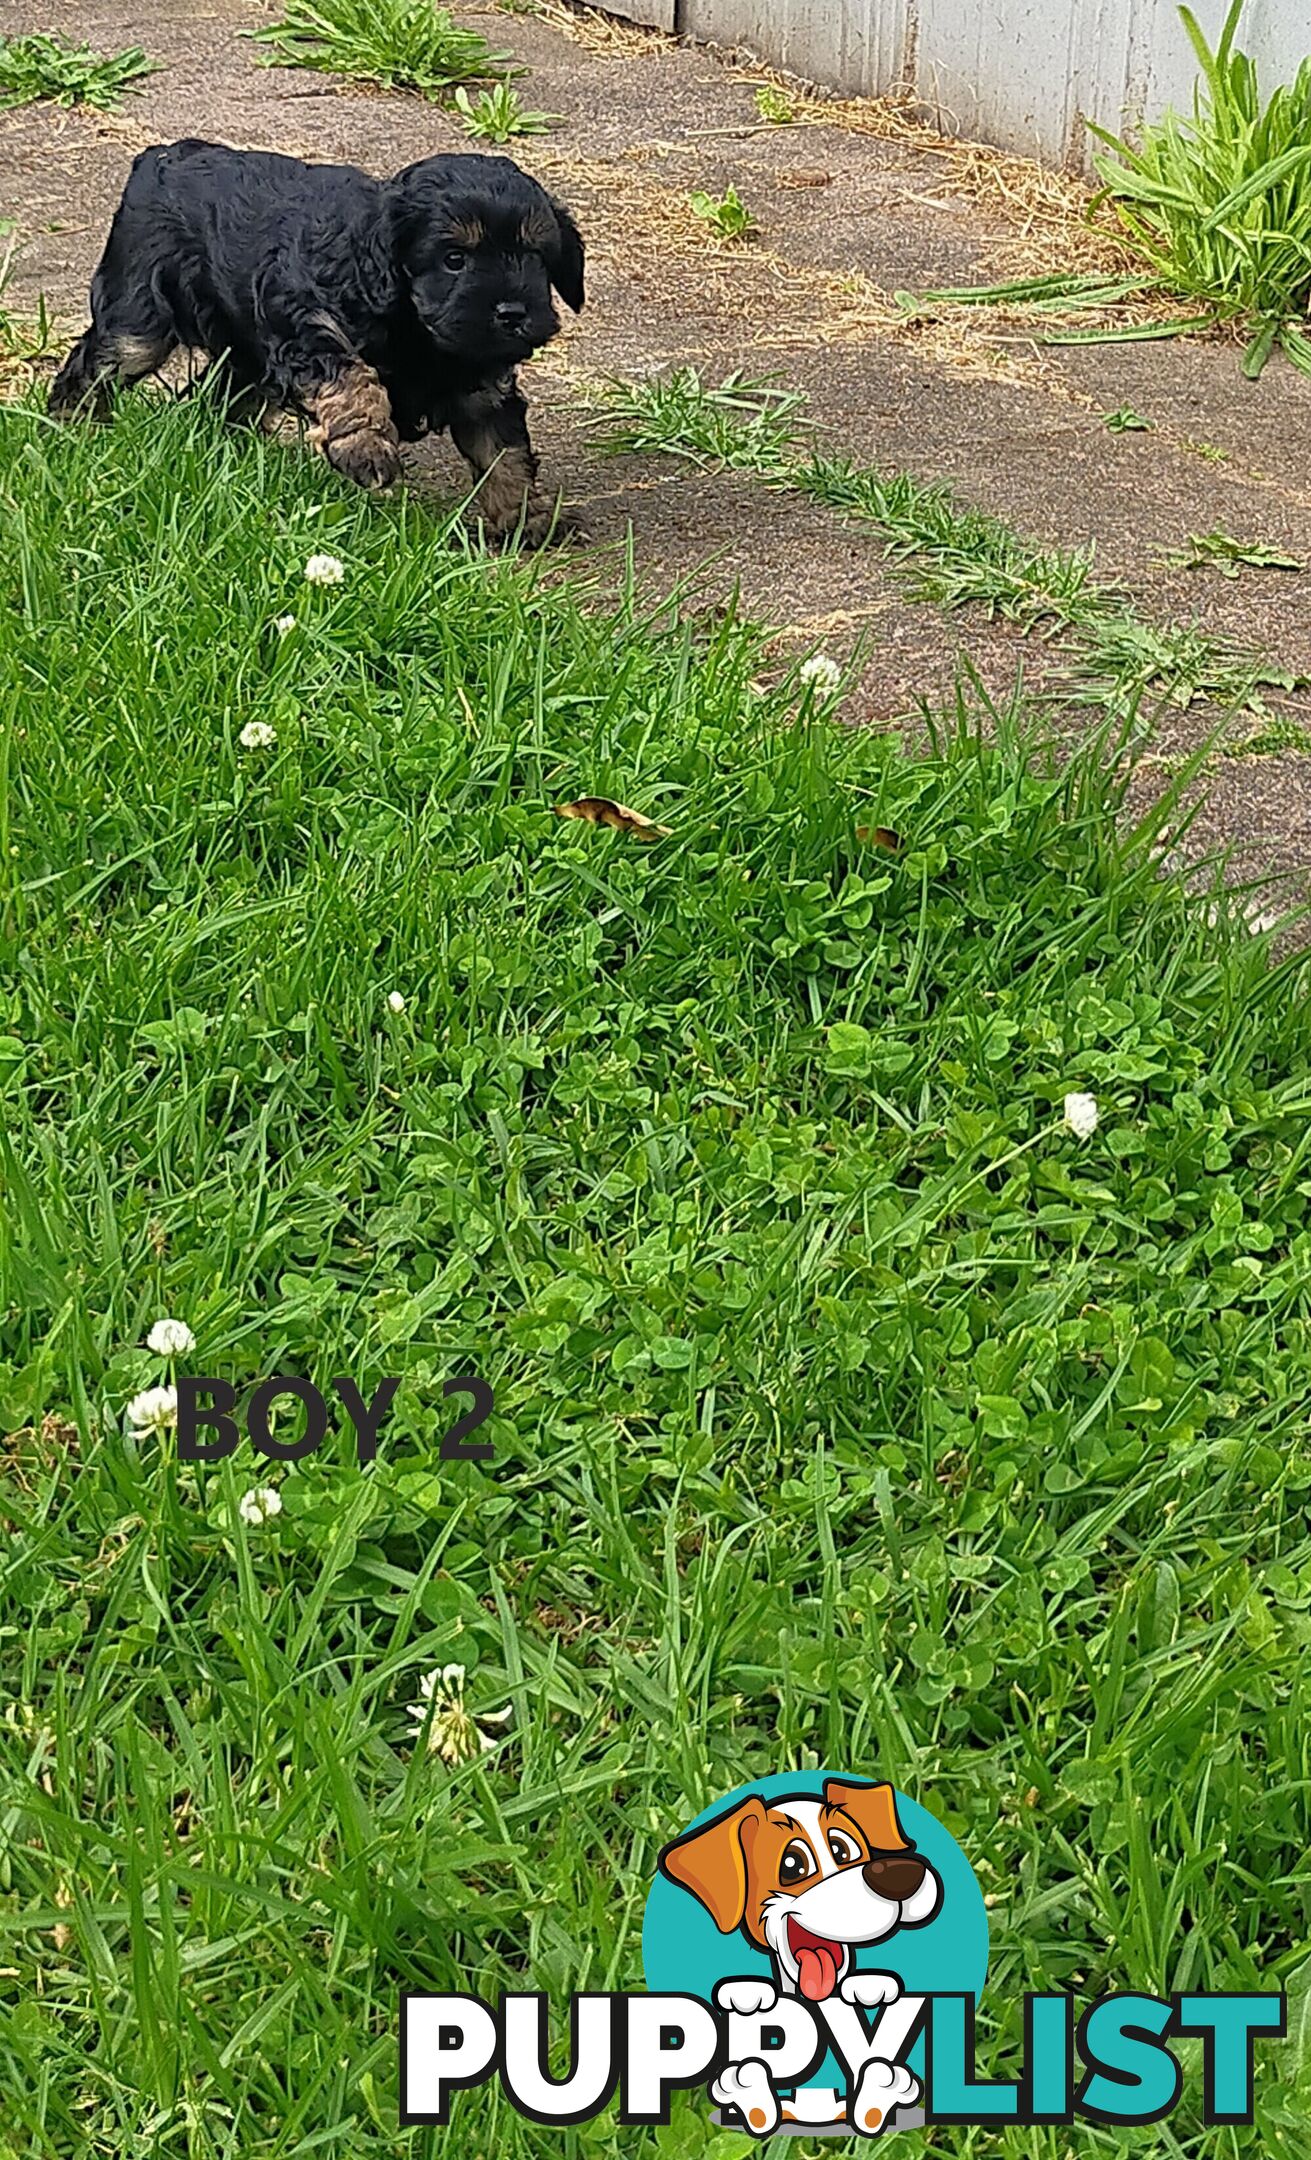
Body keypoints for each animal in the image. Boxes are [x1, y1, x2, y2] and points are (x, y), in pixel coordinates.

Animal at [51, 141, 583, 540]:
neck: (419, 332)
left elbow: (504, 452)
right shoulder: (306, 327)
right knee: (94, 366)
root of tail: (159, 159)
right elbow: (353, 380)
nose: (513, 313)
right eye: (455, 259)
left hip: (242, 354)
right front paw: (366, 448)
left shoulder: (485, 388)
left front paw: (527, 518)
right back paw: (72, 429)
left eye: (536, 257)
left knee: (220, 395)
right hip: (139, 316)